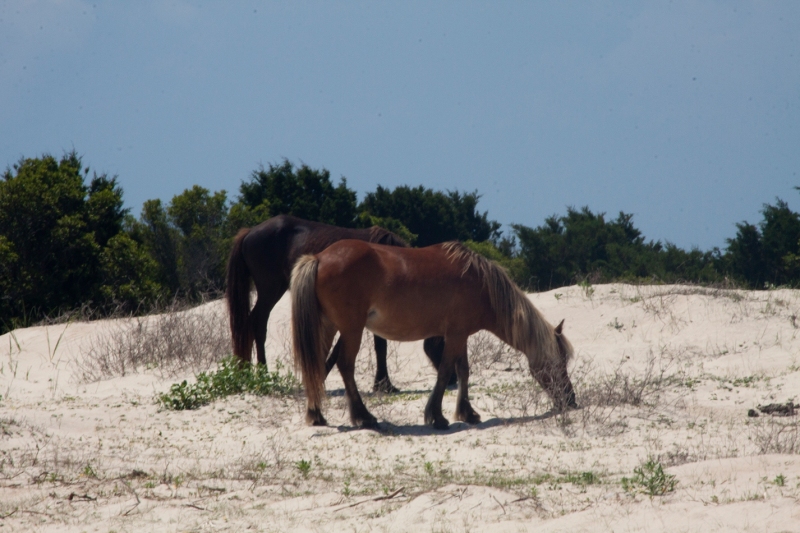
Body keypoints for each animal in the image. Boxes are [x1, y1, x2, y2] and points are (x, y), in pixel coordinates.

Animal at [225, 214, 447, 392]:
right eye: (444, 343)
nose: (451, 379)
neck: (389, 262)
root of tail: (249, 232)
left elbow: (374, 345)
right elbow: (376, 346)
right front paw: (383, 384)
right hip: (270, 290)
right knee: (258, 324)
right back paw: (263, 374)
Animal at [290, 239, 577, 430]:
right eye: (558, 362)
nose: (570, 400)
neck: (481, 284)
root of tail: (319, 258)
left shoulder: (461, 336)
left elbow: (463, 371)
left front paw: (467, 413)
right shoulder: (455, 335)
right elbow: (445, 372)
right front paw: (437, 417)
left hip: (328, 327)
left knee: (316, 365)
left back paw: (316, 415)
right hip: (351, 329)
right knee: (345, 365)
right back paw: (364, 417)